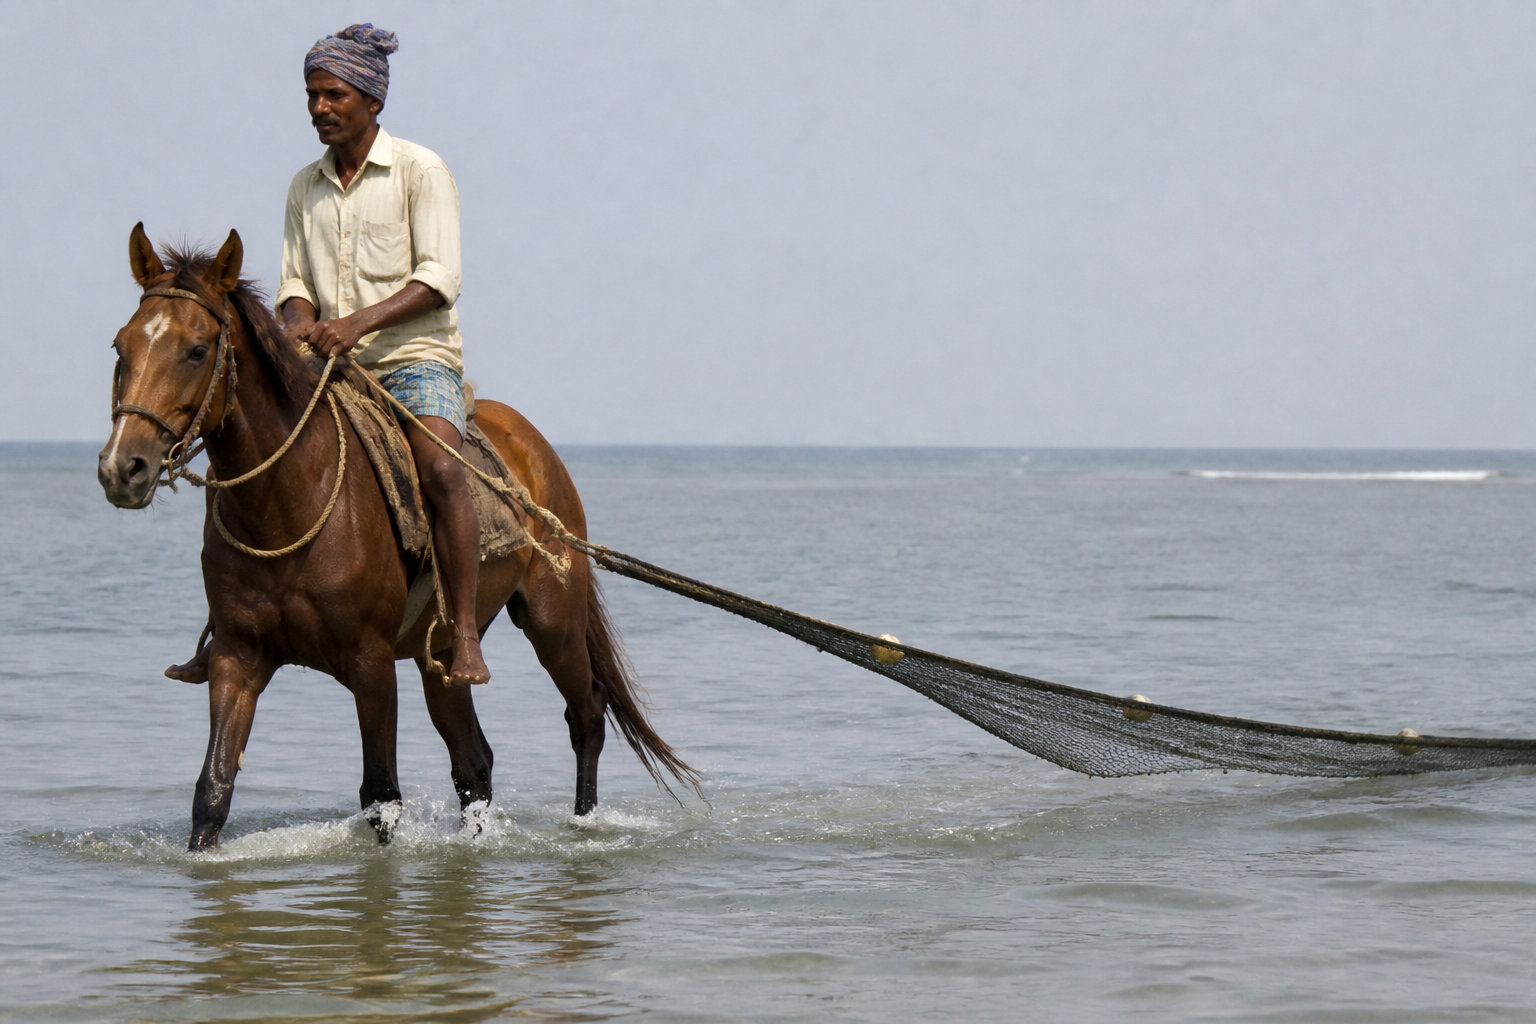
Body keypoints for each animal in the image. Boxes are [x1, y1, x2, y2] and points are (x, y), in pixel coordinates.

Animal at [97, 223, 697, 850]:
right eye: (120, 346)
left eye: (197, 350)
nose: (123, 468)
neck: (289, 499)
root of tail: (537, 451)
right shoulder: (238, 658)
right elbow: (212, 792)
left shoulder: (371, 663)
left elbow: (381, 797)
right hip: (443, 657)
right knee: (474, 763)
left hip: (552, 621)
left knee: (586, 716)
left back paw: (584, 826)